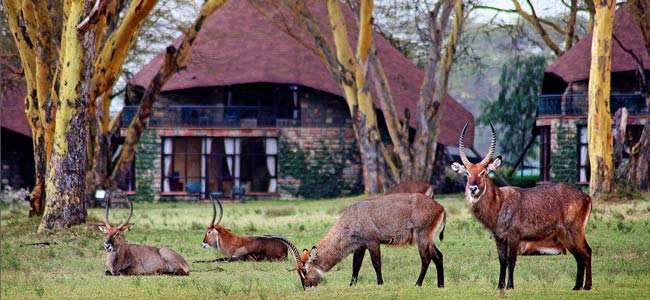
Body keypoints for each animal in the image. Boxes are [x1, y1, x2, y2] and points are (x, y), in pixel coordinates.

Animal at [270, 193, 442, 290]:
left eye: (304, 270)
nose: (306, 288)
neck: (352, 217)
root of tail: (439, 206)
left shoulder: (373, 242)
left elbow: (376, 263)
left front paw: (380, 284)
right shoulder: (360, 247)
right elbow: (356, 266)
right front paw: (352, 285)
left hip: (422, 236)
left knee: (426, 258)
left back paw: (418, 284)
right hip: (429, 238)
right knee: (438, 256)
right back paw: (441, 285)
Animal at [448, 122, 588, 290]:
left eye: (483, 172)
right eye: (467, 173)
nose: (473, 188)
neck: (498, 202)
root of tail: (586, 196)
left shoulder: (514, 236)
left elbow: (511, 261)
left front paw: (510, 286)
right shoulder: (499, 238)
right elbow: (502, 261)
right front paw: (500, 286)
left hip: (575, 230)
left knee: (587, 253)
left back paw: (587, 286)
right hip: (565, 234)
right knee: (579, 256)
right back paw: (577, 287)